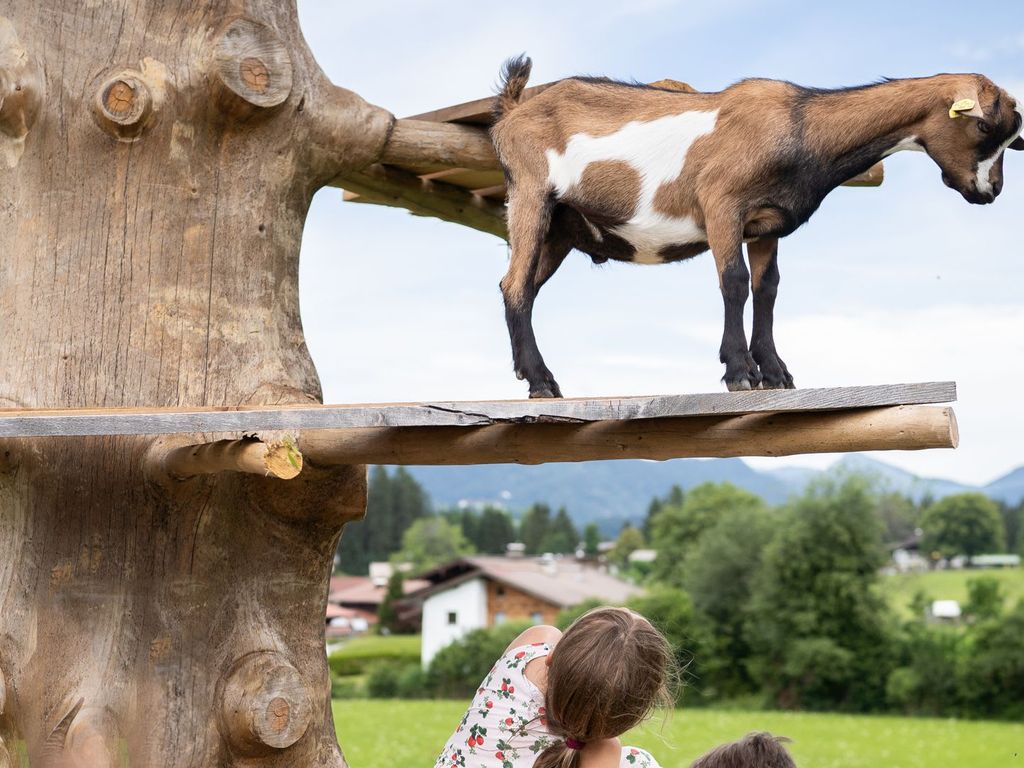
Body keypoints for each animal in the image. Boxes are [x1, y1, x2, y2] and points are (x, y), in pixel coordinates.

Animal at [490, 56, 1024, 397]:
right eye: (983, 126)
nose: (990, 191)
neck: (802, 128)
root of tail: (513, 110)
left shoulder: (767, 224)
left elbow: (767, 288)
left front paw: (776, 372)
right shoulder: (721, 203)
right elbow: (734, 281)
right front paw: (739, 372)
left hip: (560, 230)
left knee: (520, 286)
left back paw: (528, 374)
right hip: (531, 194)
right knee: (516, 284)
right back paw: (542, 382)